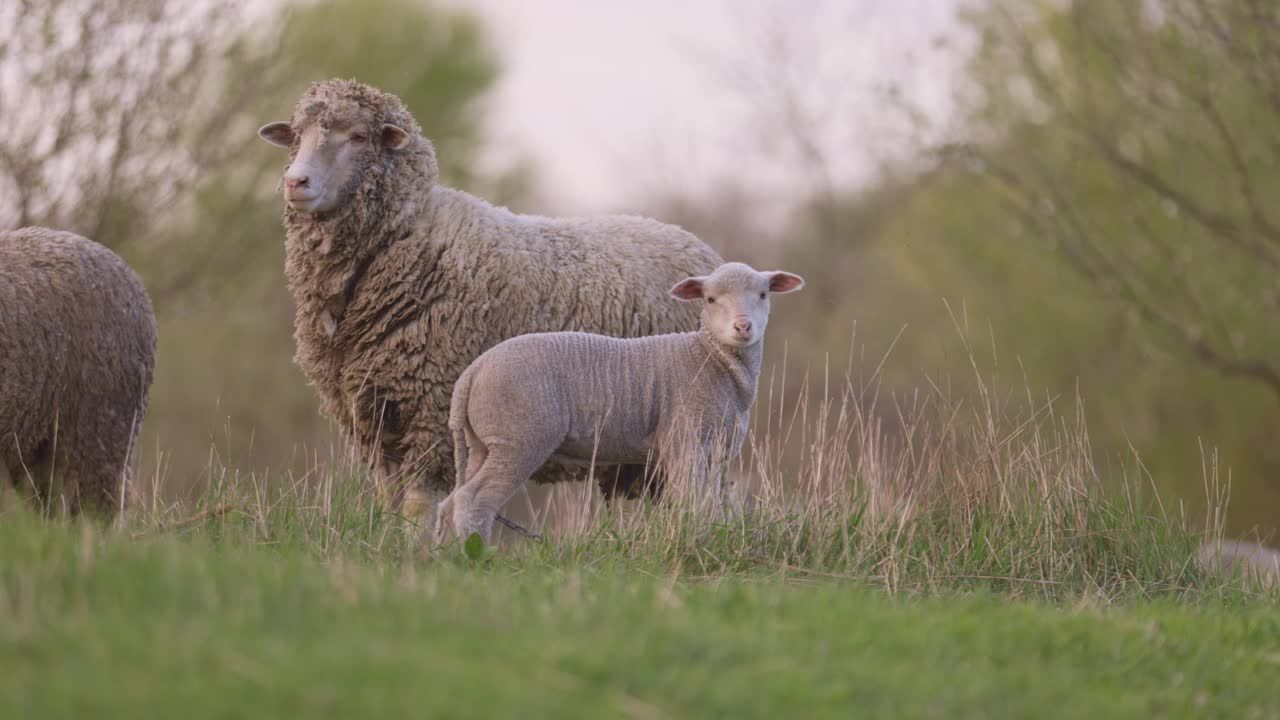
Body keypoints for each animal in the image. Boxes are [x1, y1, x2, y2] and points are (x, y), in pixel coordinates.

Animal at [254, 79, 727, 527]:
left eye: (357, 137)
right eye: (296, 135)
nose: (295, 182)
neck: (409, 235)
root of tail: (703, 250)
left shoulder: (434, 407)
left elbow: (419, 505)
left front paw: (415, 549)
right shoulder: (371, 416)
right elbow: (390, 501)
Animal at [435, 260, 803, 540]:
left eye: (763, 294)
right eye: (710, 299)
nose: (743, 327)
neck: (709, 357)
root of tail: (473, 372)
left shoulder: (714, 452)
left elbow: (710, 505)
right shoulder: (684, 441)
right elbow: (689, 502)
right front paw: (689, 538)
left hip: (483, 441)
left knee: (451, 502)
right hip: (519, 437)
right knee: (474, 501)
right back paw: (475, 557)